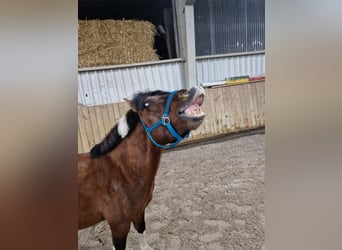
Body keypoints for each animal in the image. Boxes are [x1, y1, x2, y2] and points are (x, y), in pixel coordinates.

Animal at [79, 87, 204, 249]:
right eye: (146, 105)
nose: (189, 91)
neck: (120, 171)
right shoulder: (118, 227)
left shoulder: (139, 212)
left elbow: (141, 231)